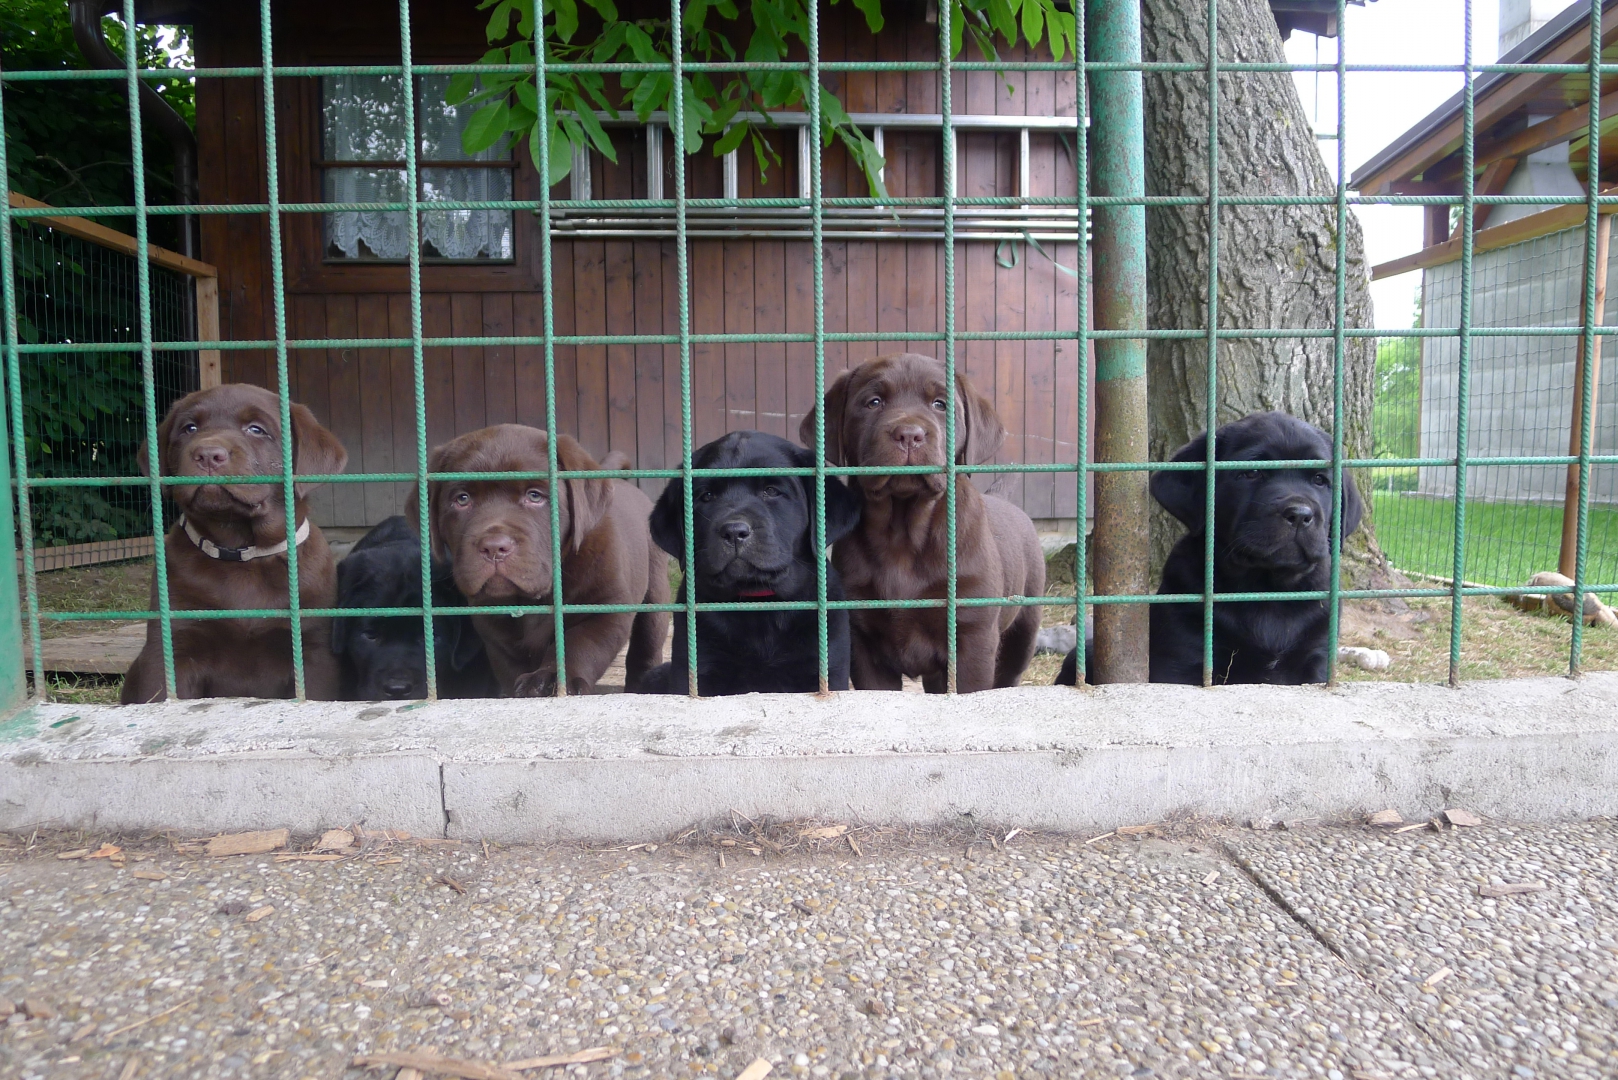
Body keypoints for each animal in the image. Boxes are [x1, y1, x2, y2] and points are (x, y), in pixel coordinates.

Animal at [121, 383, 347, 702]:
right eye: (189, 428)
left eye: (256, 429)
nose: (207, 454)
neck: (240, 549)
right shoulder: (172, 645)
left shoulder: (314, 650)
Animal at [417, 424, 669, 696]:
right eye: (462, 499)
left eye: (535, 496)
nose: (494, 547)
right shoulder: (492, 624)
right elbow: (510, 663)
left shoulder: (605, 606)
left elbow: (578, 643)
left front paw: (551, 680)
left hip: (655, 592)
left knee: (647, 643)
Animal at [634, 431, 863, 695]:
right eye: (707, 496)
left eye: (771, 491)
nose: (734, 531)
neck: (758, 603)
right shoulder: (695, 669)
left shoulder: (827, 669)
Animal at [799, 353, 1044, 692]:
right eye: (874, 402)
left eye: (940, 404)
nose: (909, 434)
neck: (904, 532)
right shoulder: (863, 642)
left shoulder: (973, 637)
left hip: (1024, 626)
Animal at [1056, 411, 1363, 686]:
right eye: (1252, 473)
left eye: (1320, 480)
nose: (1300, 514)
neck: (1266, 590)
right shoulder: (1184, 657)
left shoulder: (1317, 658)